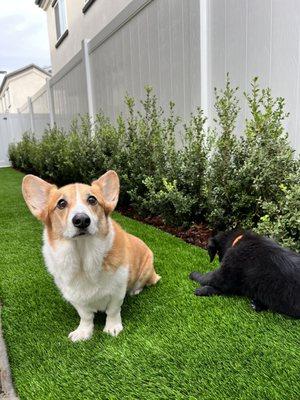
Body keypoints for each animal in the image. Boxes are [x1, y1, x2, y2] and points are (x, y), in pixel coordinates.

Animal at [22, 170, 161, 342]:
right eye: (61, 203)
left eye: (92, 200)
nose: (81, 220)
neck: (83, 256)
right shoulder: (76, 297)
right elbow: (86, 316)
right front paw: (83, 332)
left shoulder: (117, 291)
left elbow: (113, 311)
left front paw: (112, 328)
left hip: (146, 270)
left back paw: (135, 290)